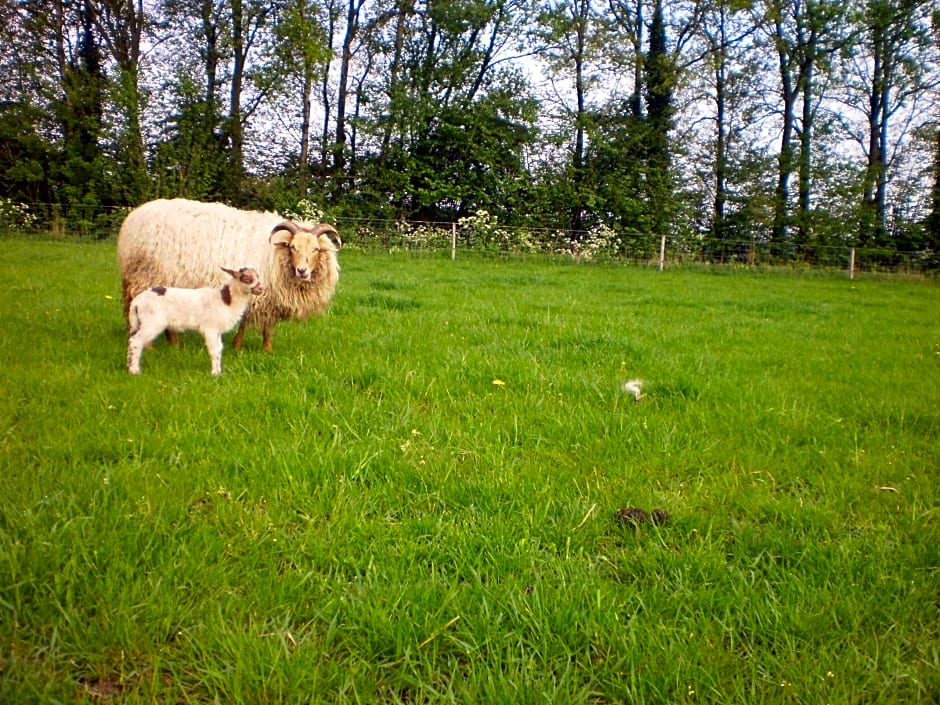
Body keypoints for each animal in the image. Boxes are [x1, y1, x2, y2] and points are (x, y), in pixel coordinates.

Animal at [115, 198, 340, 352]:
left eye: (316, 250)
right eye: (293, 247)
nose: (302, 271)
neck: (275, 254)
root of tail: (132, 218)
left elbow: (262, 325)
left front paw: (262, 348)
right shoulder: (261, 294)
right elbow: (254, 323)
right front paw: (249, 347)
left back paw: (173, 344)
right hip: (146, 277)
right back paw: (152, 345)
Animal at [126, 266, 266, 374]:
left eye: (258, 276)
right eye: (246, 278)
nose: (261, 289)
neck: (227, 301)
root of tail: (136, 302)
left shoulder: (217, 331)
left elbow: (219, 349)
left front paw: (219, 372)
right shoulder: (210, 328)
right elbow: (214, 350)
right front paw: (214, 374)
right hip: (151, 322)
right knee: (136, 341)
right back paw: (134, 371)